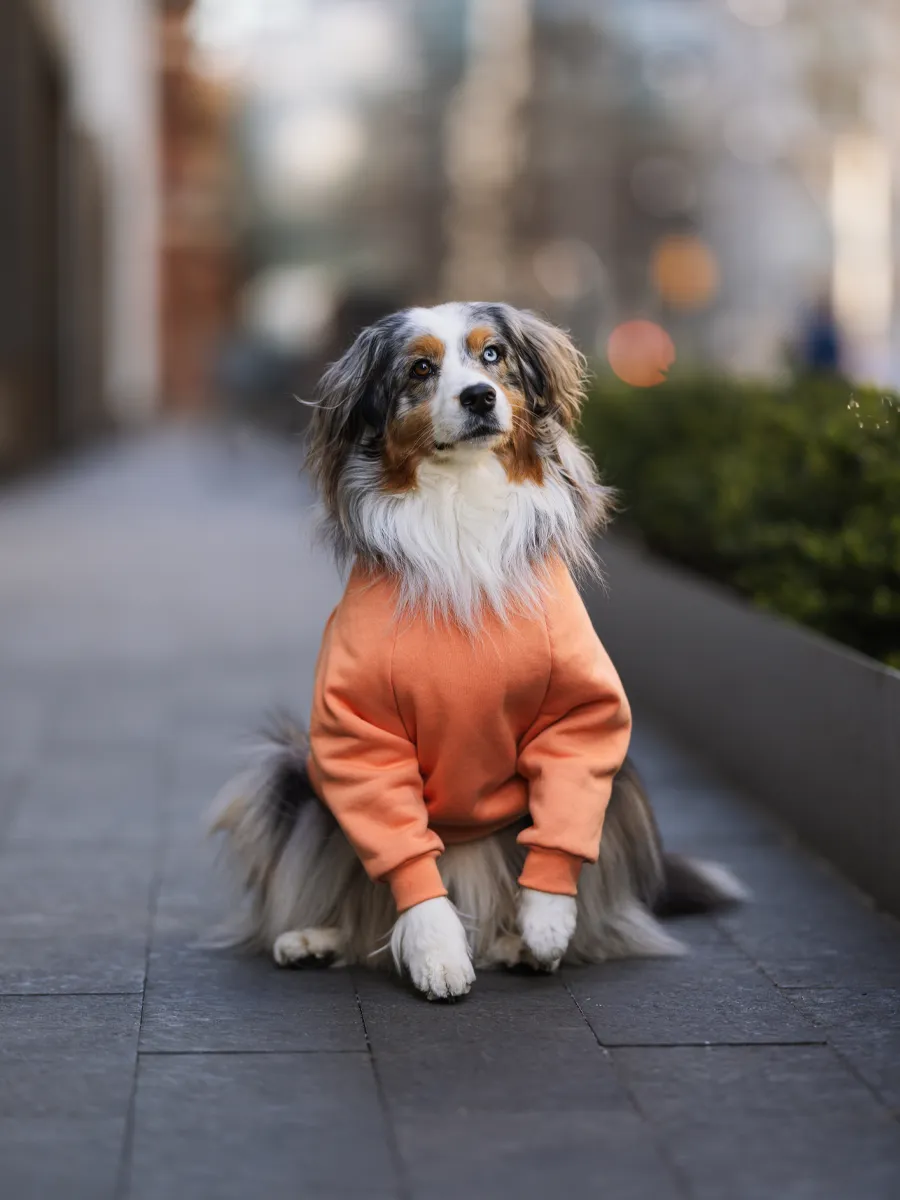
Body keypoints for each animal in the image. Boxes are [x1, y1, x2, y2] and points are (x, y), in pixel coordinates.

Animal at [213, 304, 748, 998]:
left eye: (492, 355)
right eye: (420, 368)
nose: (478, 396)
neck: (460, 506)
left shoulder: (581, 714)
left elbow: (561, 817)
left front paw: (545, 923)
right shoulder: (358, 731)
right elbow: (409, 863)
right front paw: (437, 953)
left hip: (622, 781)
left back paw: (517, 944)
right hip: (293, 773)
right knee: (364, 913)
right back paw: (318, 938)